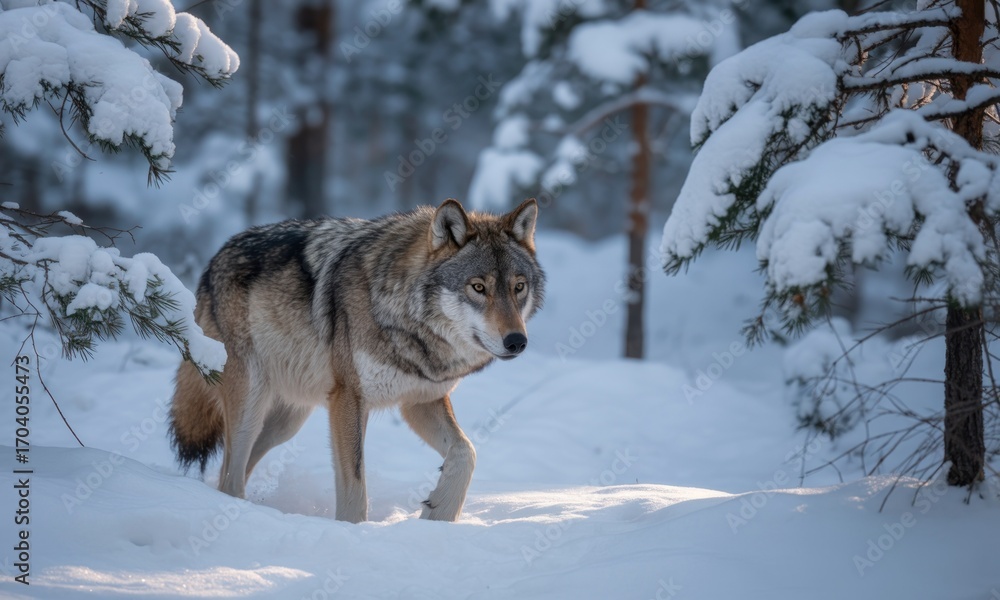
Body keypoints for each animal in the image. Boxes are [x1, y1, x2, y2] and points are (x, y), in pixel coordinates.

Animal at [168, 198, 544, 522]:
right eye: (478, 287)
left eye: (518, 287)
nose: (517, 341)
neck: (407, 319)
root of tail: (213, 261)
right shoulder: (349, 399)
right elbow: (355, 487)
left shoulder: (421, 400)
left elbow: (466, 453)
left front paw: (439, 513)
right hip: (251, 401)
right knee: (230, 477)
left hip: (285, 422)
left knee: (233, 471)